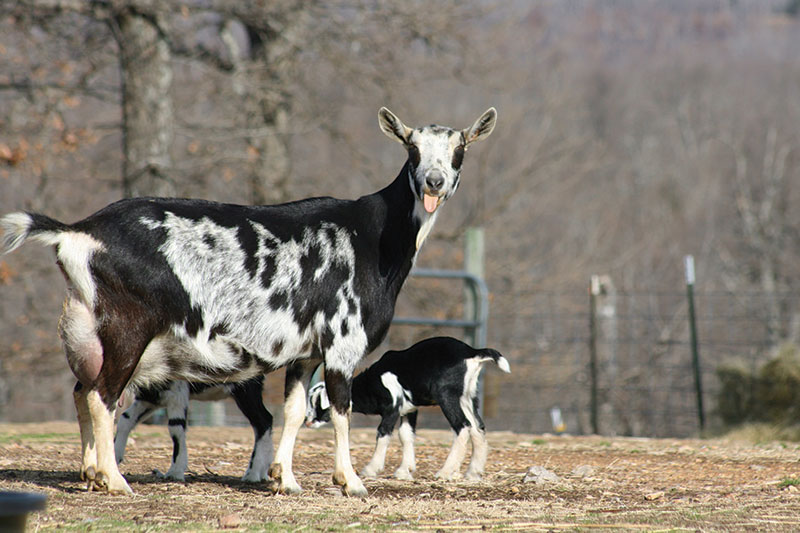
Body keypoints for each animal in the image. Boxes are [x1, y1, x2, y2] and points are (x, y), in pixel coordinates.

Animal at [114, 376, 273, 482]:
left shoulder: (177, 391)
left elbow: (176, 427)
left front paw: (175, 472)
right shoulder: (150, 396)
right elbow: (126, 419)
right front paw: (115, 459)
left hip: (246, 388)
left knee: (262, 421)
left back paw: (252, 474)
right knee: (267, 420)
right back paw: (263, 472)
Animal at [305, 337, 511, 481]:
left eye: (317, 402)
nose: (308, 422)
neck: (372, 382)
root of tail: (471, 352)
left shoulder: (392, 408)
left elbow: (383, 433)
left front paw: (371, 469)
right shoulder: (410, 409)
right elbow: (405, 435)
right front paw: (405, 471)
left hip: (447, 396)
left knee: (462, 426)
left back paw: (445, 472)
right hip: (467, 397)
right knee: (477, 427)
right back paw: (473, 472)